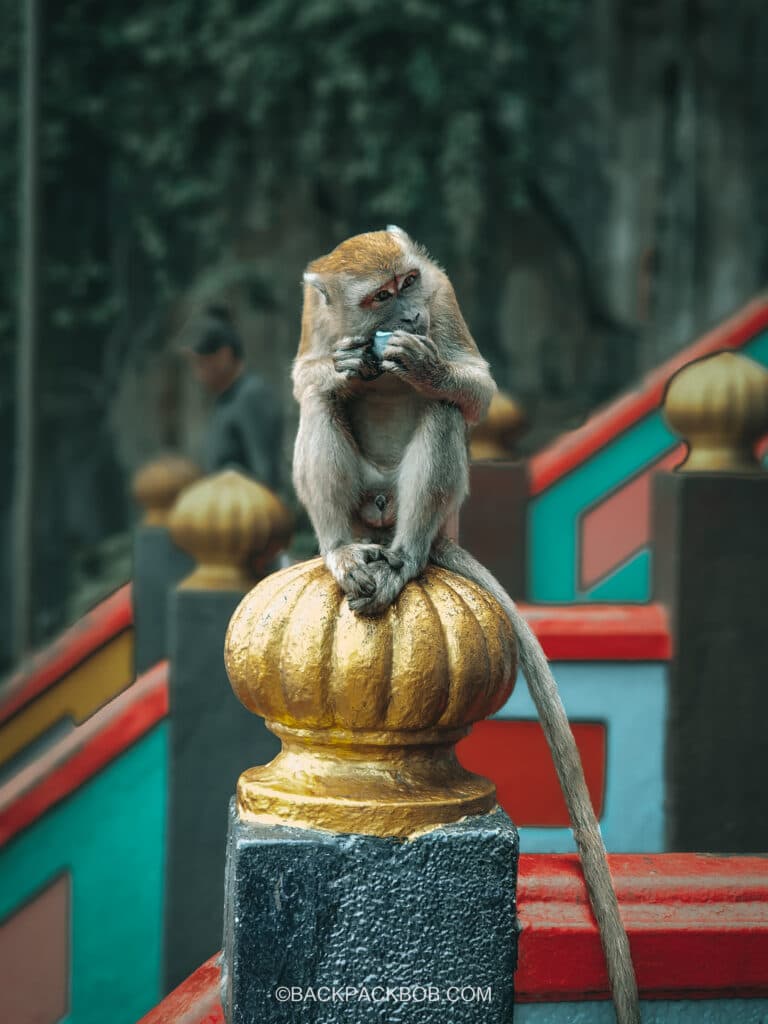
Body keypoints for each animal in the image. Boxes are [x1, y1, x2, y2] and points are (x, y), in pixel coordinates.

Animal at [292, 226, 640, 1024]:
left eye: (410, 282)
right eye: (379, 296)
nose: (410, 316)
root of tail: (386, 520)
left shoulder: (445, 296)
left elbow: (472, 388)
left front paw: (421, 362)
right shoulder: (316, 318)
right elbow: (307, 379)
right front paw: (343, 367)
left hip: (415, 506)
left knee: (445, 413)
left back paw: (408, 556)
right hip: (363, 501)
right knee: (320, 413)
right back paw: (339, 549)